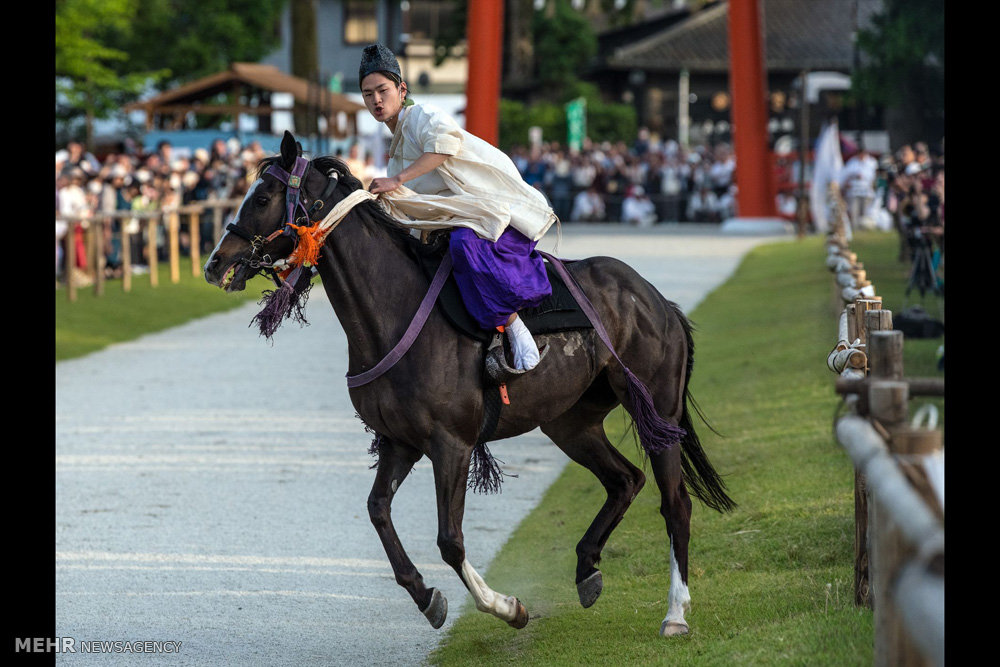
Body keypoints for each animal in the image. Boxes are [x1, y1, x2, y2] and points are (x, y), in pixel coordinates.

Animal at [203, 130, 736, 636]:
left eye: (263, 197)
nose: (214, 263)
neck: (391, 312)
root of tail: (656, 299)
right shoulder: (399, 440)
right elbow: (378, 511)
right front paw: (425, 595)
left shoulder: (451, 442)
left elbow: (450, 540)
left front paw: (506, 607)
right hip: (570, 421)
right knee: (625, 479)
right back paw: (587, 568)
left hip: (655, 407)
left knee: (675, 502)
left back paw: (675, 613)